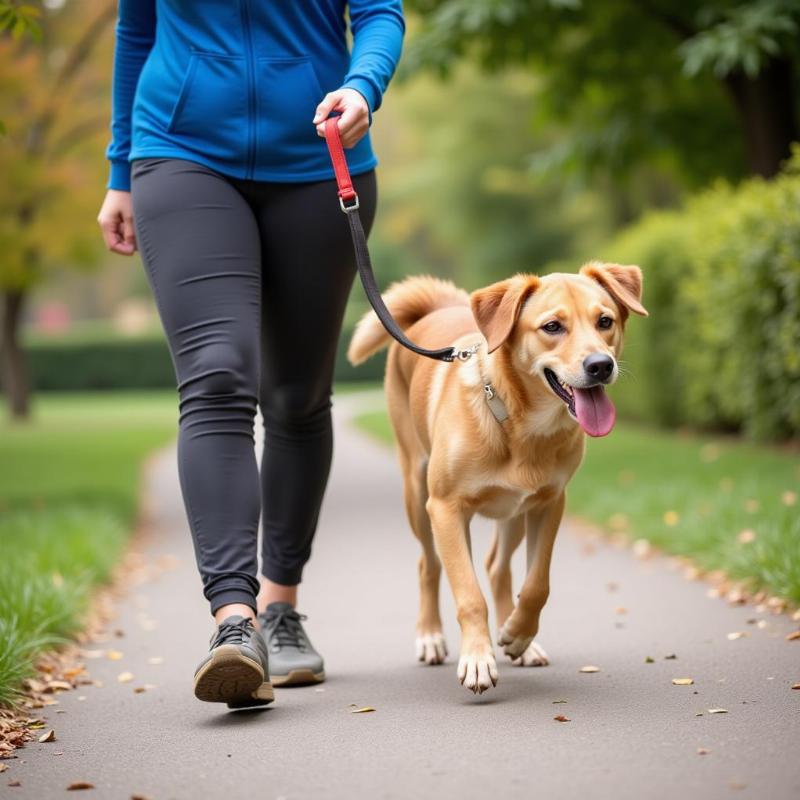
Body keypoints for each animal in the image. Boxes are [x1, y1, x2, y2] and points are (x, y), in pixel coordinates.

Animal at [346, 262, 648, 692]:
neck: (520, 425)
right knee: (429, 565)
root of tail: (437, 310)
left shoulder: (549, 504)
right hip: (417, 495)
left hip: (514, 512)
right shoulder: (446, 510)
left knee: (496, 566)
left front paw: (518, 634)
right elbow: (469, 593)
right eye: (552, 326)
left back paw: (518, 639)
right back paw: (430, 636)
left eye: (604, 321)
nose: (600, 365)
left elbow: (537, 584)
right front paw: (477, 658)